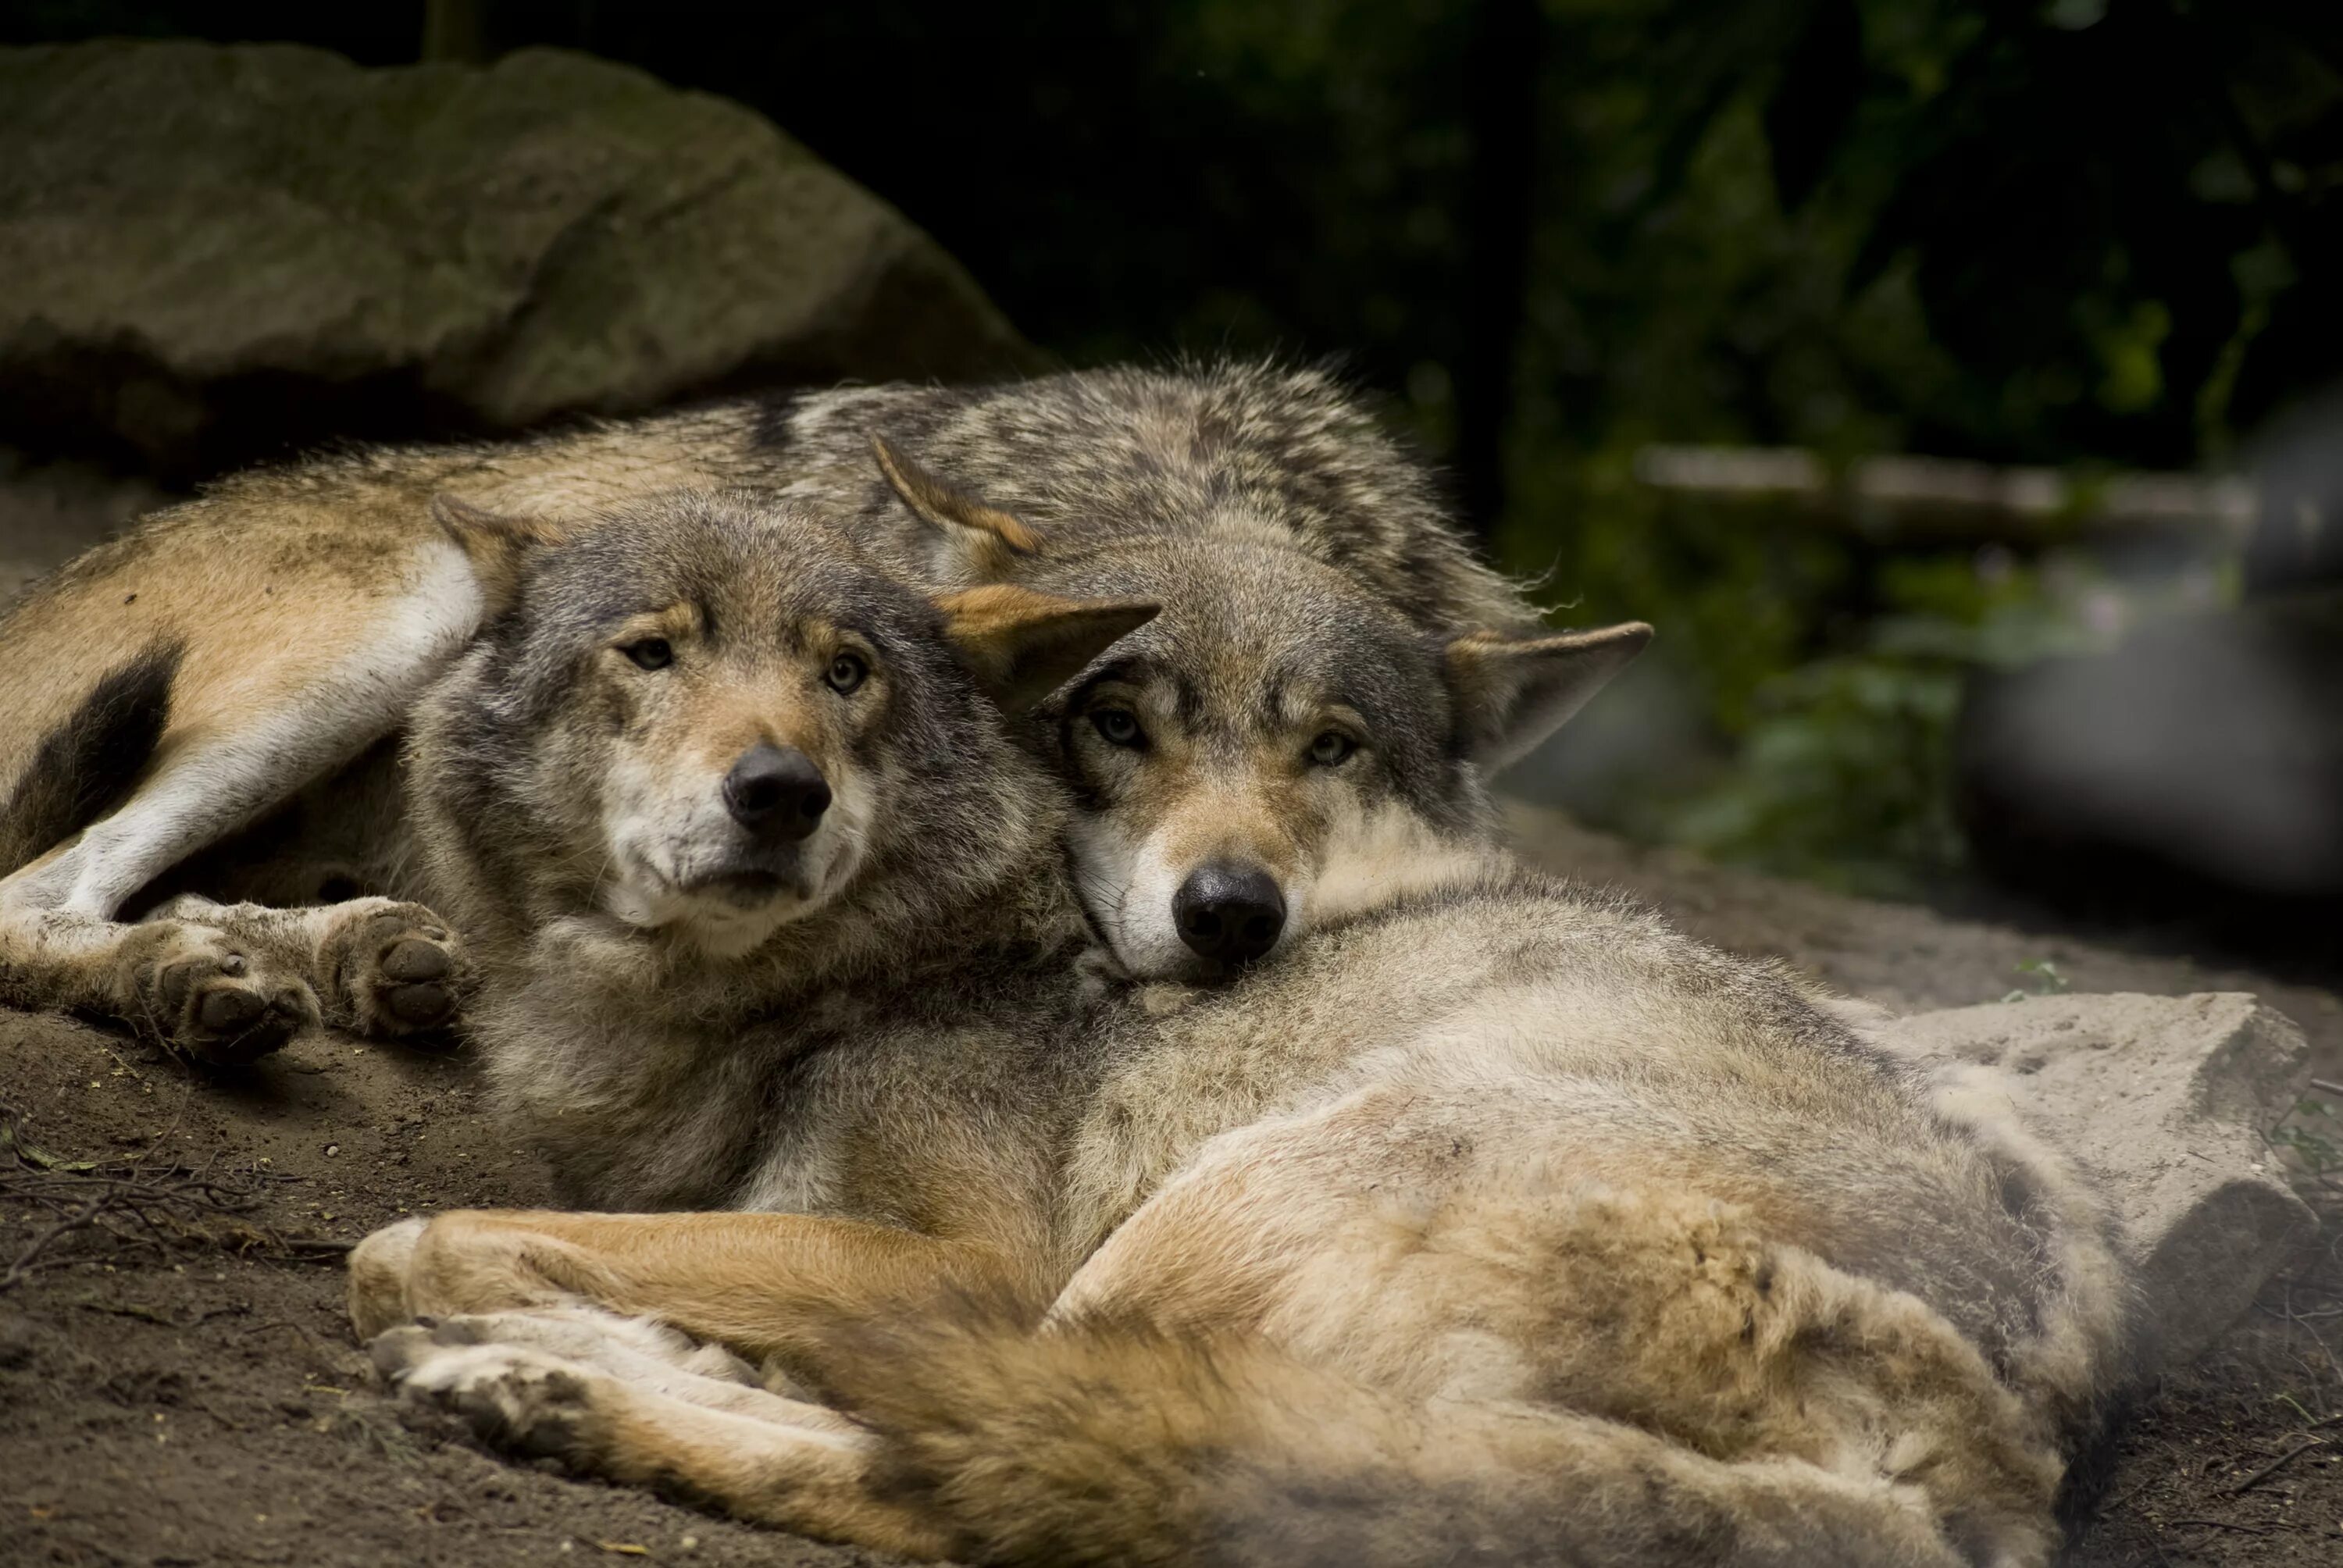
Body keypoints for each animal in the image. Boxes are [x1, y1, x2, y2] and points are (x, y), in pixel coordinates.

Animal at [0, 361, 1621, 1059]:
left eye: (1331, 747)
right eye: (1115, 721)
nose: (1232, 913)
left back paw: (350, 957)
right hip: (399, 622)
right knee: (51, 889)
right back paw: (195, 978)